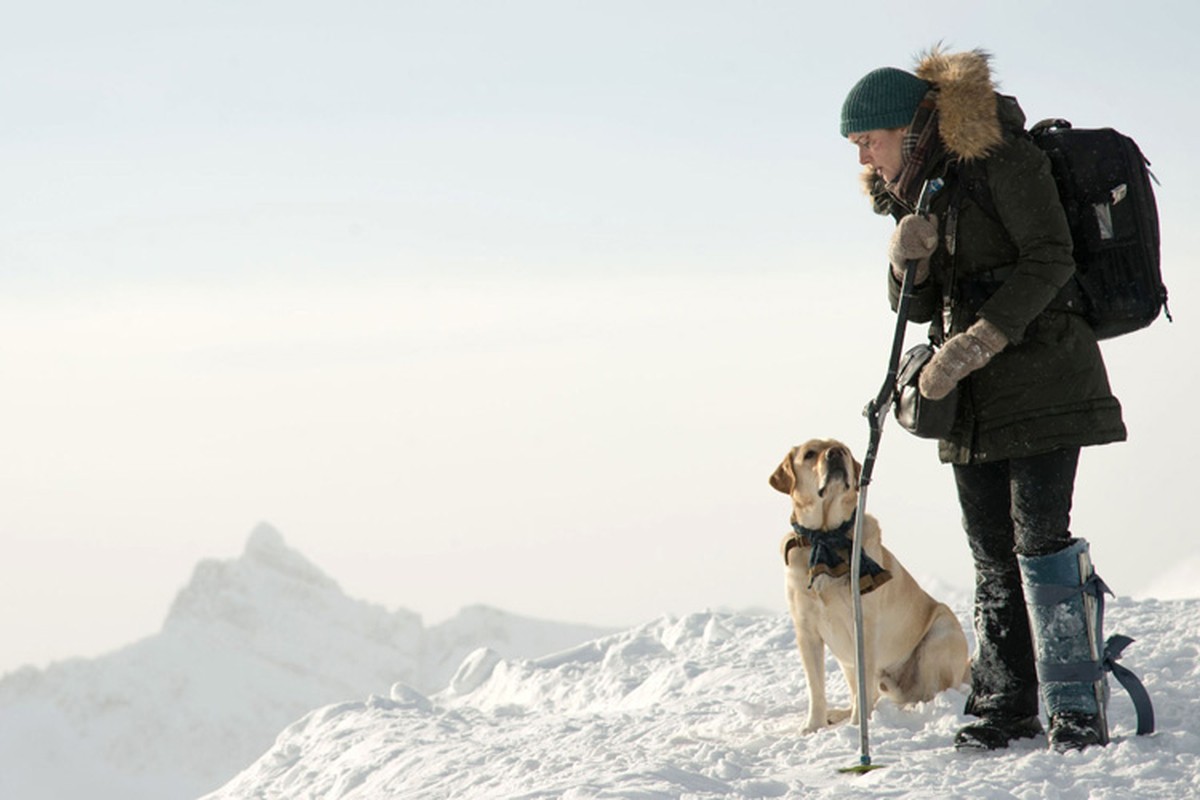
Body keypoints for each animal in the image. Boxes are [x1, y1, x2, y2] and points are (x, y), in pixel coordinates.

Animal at [768, 441, 974, 734]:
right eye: (809, 454)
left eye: (841, 448)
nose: (835, 454)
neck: (825, 539)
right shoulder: (806, 631)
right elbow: (816, 688)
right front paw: (813, 726)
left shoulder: (863, 625)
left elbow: (862, 690)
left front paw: (857, 727)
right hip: (846, 660)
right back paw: (838, 714)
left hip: (940, 633)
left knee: (930, 692)